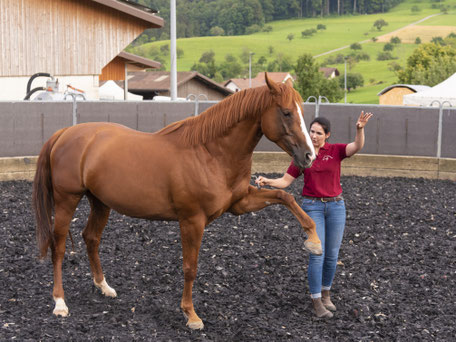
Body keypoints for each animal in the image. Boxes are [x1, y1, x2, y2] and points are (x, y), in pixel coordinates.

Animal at [33, 73, 320, 330]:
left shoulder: (240, 203)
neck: (210, 152)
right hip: (67, 200)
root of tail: (65, 133)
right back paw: (60, 302)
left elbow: (285, 196)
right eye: (286, 113)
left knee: (91, 238)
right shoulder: (192, 221)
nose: (309, 156)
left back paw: (104, 286)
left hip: (100, 202)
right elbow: (190, 267)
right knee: (59, 247)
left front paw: (314, 241)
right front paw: (191, 315)